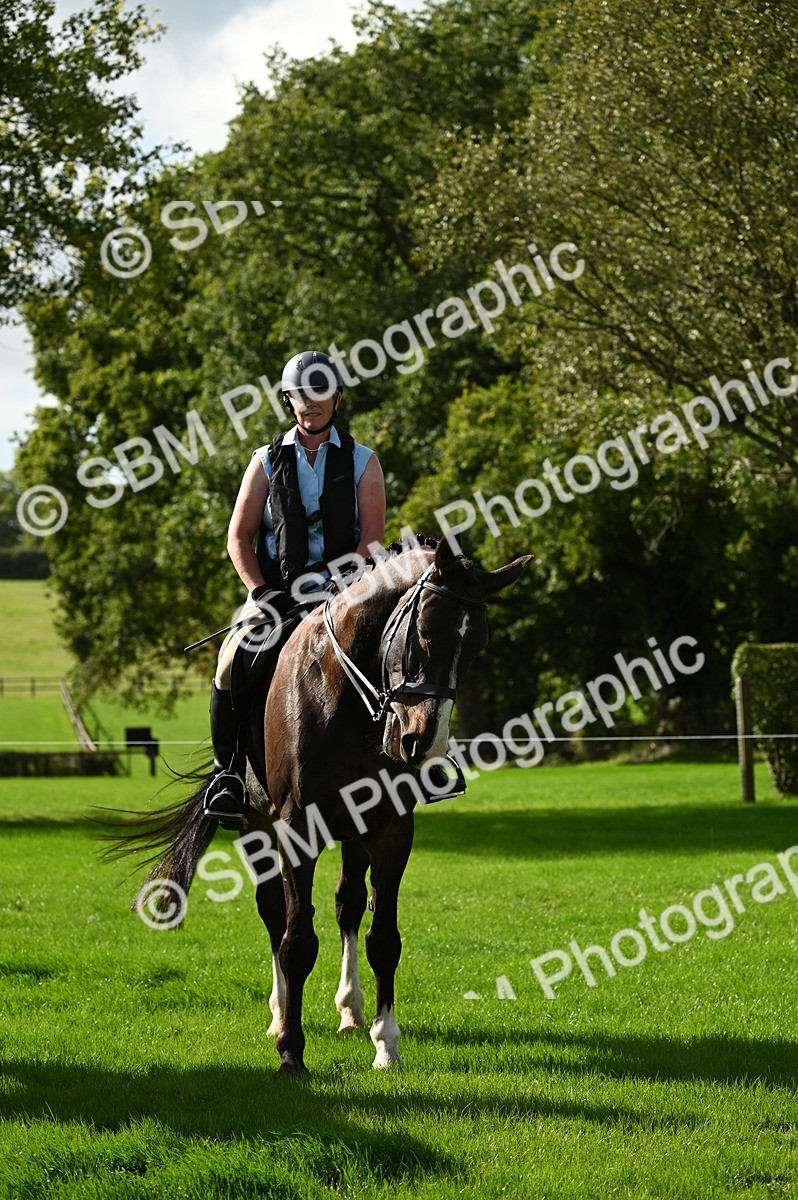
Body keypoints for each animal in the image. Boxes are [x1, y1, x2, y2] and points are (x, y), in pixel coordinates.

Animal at [108, 536, 530, 1074]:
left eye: (477, 646)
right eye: (426, 632)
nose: (422, 743)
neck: (346, 694)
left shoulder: (392, 828)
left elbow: (383, 938)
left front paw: (386, 1044)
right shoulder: (295, 829)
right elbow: (296, 941)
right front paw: (291, 1049)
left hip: (353, 831)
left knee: (347, 905)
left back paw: (350, 1010)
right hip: (255, 825)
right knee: (275, 915)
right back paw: (278, 1014)